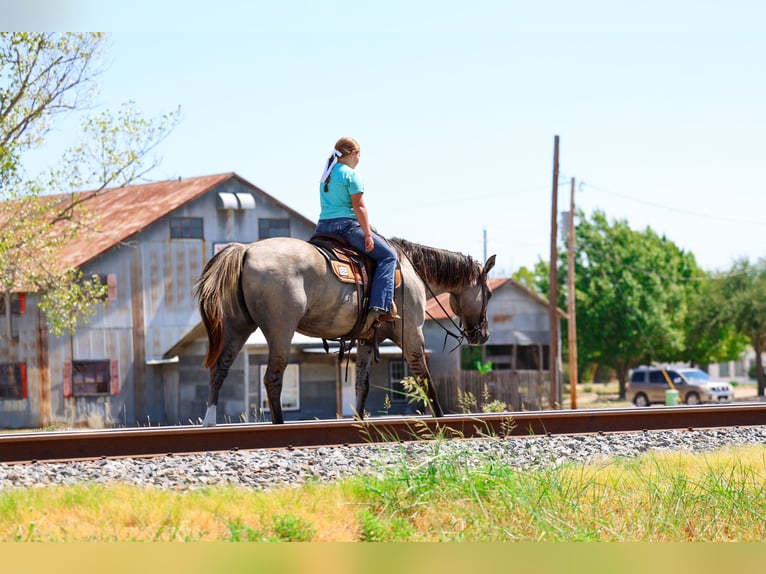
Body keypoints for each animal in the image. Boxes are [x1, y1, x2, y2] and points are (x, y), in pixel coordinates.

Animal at [194, 236, 496, 425]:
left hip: (237, 328)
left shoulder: (366, 341)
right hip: (280, 332)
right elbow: (425, 378)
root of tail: (246, 250)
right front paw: (440, 419)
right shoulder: (412, 334)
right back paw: (278, 425)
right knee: (272, 379)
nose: (483, 335)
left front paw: (359, 421)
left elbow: (362, 385)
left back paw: (209, 423)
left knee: (220, 369)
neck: (411, 271)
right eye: (489, 293)